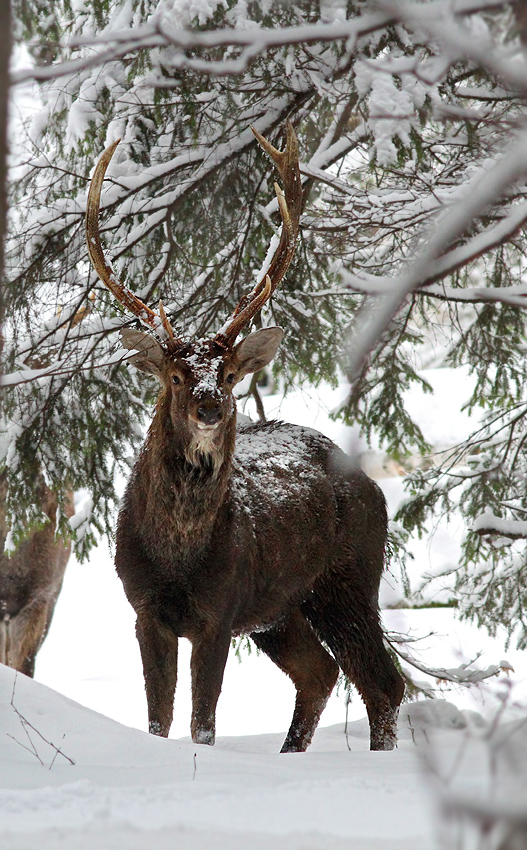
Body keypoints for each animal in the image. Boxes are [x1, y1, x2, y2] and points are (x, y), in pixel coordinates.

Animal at [85, 124, 404, 748]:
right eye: (176, 375)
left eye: (230, 374)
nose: (210, 405)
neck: (178, 556)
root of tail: (370, 484)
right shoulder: (145, 609)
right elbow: (158, 720)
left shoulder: (220, 611)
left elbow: (202, 724)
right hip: (281, 609)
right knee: (321, 672)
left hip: (350, 577)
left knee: (383, 681)